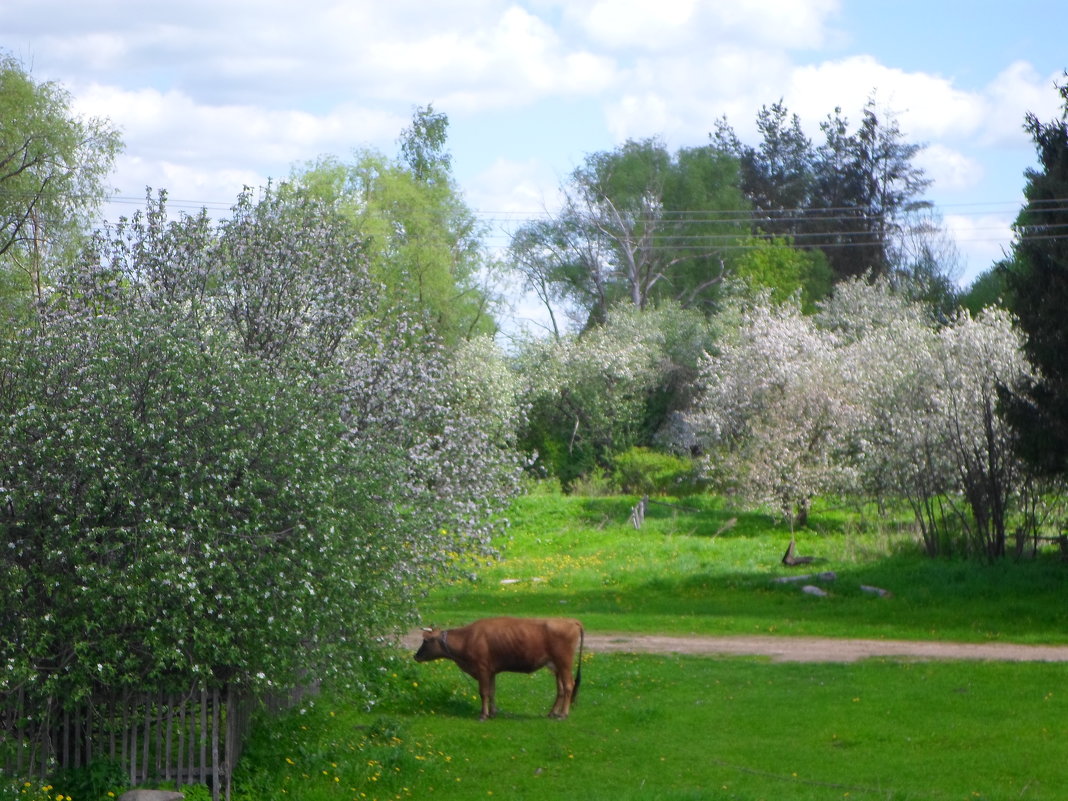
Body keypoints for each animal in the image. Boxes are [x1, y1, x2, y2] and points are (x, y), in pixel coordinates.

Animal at [414, 619, 585, 726]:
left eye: (426, 640)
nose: (416, 656)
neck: (468, 638)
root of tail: (570, 621)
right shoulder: (491, 671)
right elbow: (492, 692)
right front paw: (493, 713)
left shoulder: (482, 668)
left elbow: (483, 692)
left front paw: (483, 715)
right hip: (556, 667)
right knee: (561, 689)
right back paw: (552, 713)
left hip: (564, 663)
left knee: (568, 686)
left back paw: (563, 715)